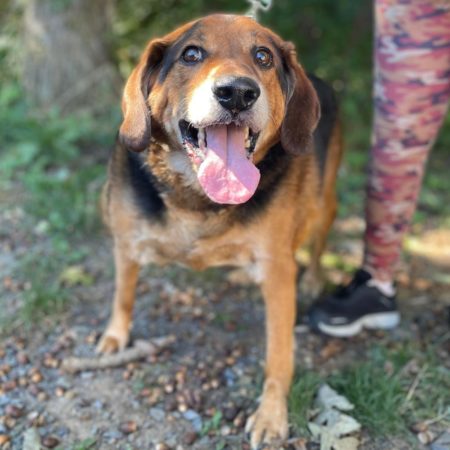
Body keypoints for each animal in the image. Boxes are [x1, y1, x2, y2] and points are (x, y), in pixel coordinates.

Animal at [97, 14, 342, 448]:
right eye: (191, 54)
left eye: (263, 56)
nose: (238, 93)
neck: (198, 196)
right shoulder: (125, 241)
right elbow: (123, 294)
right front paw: (116, 336)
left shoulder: (278, 271)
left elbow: (279, 354)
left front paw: (272, 414)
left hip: (323, 201)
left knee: (318, 238)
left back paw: (313, 279)